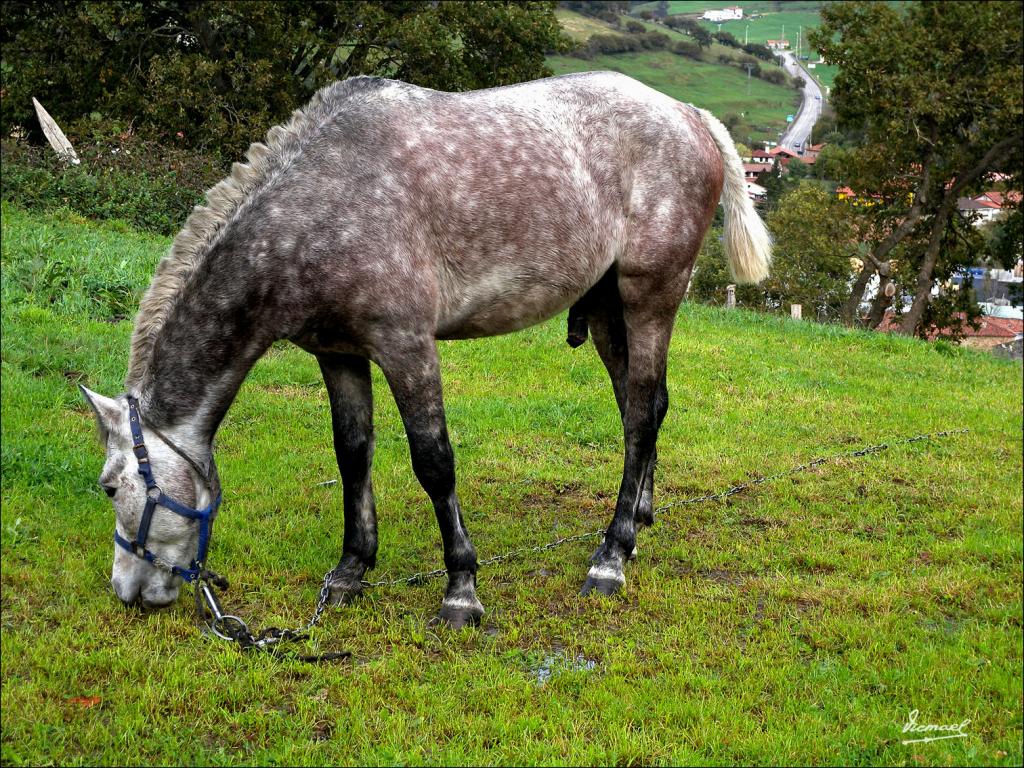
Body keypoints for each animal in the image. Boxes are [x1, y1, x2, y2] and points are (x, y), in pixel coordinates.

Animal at [81, 69, 770, 626]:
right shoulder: (338, 354)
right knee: (640, 407)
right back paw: (639, 520)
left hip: (651, 296)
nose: (128, 592)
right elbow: (352, 454)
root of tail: (688, 114)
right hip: (607, 311)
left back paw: (611, 554)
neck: (318, 206)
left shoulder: (406, 347)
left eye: (112, 488)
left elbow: (433, 462)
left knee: (644, 412)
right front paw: (350, 571)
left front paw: (461, 589)